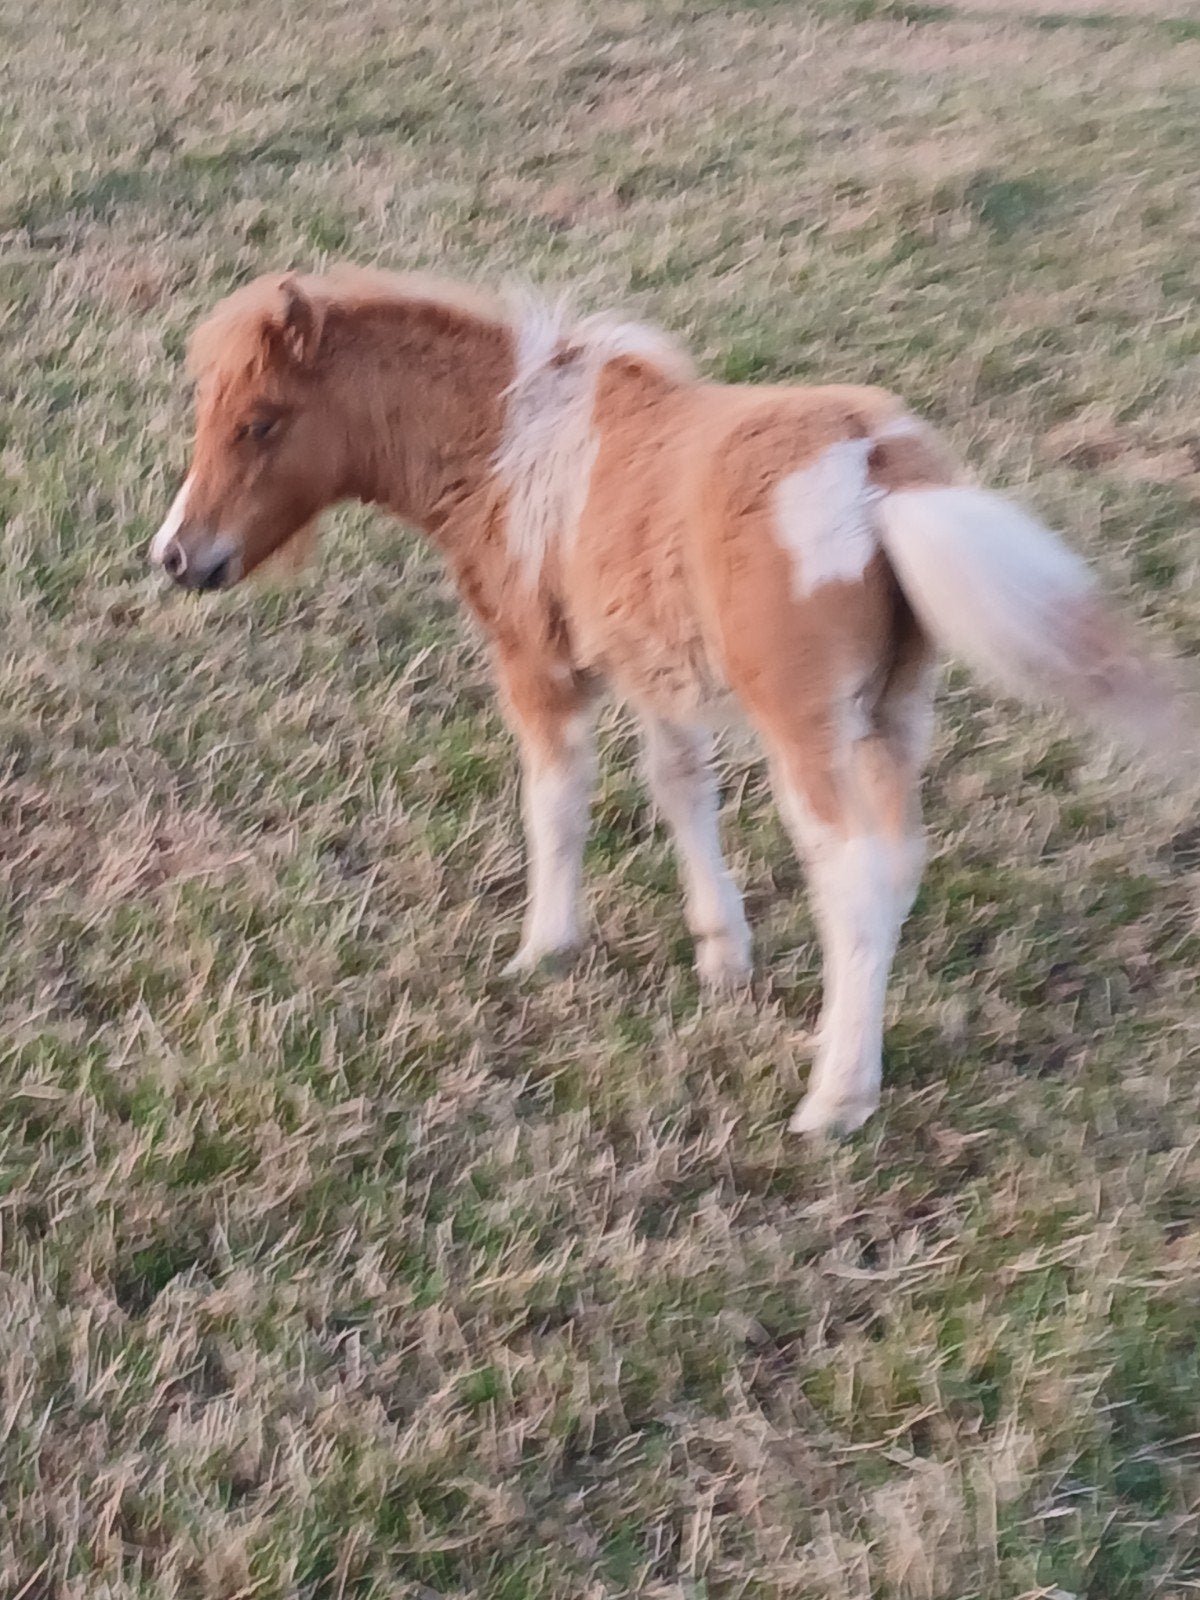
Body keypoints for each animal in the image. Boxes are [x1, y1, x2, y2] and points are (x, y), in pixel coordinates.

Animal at [150, 265, 1186, 1134]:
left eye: (260, 422)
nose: (175, 556)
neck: (511, 442)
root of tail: (877, 467)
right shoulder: (654, 665)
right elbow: (681, 788)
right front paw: (722, 956)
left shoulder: (539, 664)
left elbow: (558, 804)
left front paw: (545, 951)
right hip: (894, 714)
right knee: (897, 860)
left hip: (806, 726)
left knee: (851, 872)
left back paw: (835, 1099)